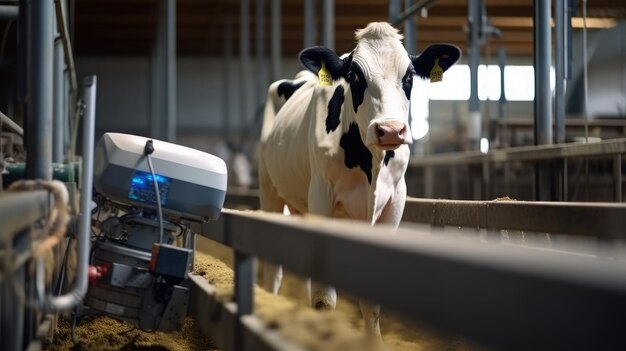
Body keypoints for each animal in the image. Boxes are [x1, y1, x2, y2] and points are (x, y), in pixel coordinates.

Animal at [256, 22, 456, 338]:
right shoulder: (321, 197)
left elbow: (371, 301)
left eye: (409, 76)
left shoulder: (394, 203)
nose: (390, 130)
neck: (369, 163)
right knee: (272, 270)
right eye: (354, 75)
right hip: (269, 191)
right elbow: (324, 298)